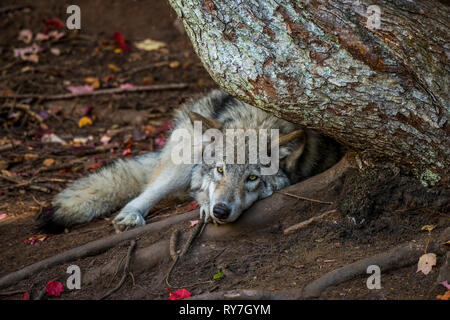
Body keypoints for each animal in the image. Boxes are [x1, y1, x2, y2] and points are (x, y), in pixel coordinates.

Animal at [42, 89, 342, 232]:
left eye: (252, 178)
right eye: (220, 170)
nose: (221, 211)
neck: (256, 120)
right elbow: (200, 191)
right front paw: (207, 206)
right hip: (181, 159)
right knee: (150, 190)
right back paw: (130, 216)